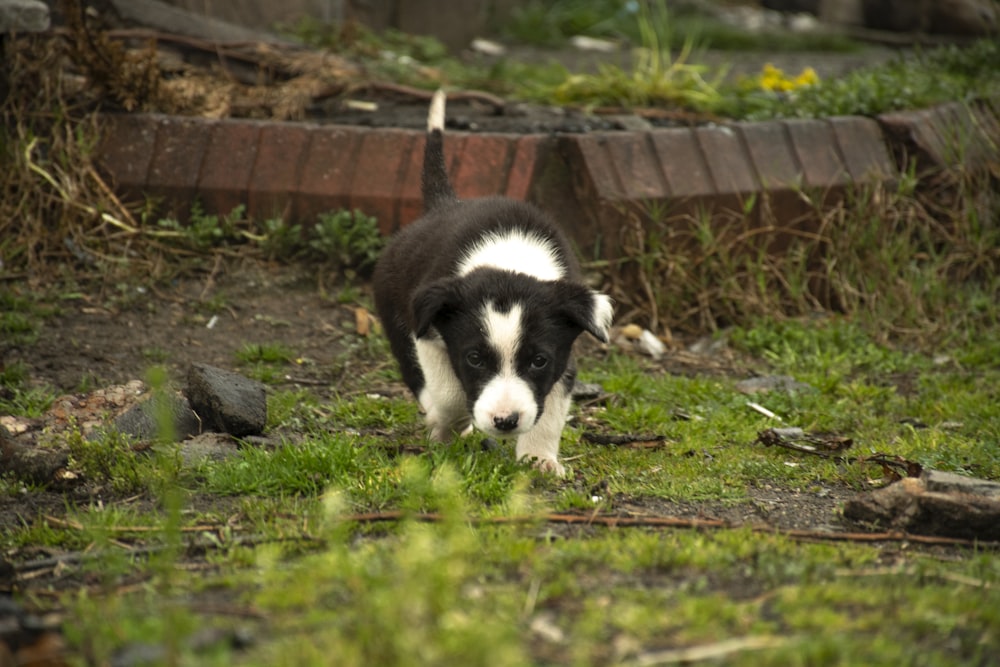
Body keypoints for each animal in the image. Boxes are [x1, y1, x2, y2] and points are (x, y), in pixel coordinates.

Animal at [374, 91, 612, 478]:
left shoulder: (564, 357)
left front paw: (539, 460)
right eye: (474, 358)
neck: (510, 265)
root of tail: (444, 204)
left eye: (539, 361)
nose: (505, 421)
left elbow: (550, 412)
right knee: (420, 381)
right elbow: (451, 396)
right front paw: (448, 425)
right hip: (396, 318)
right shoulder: (429, 337)